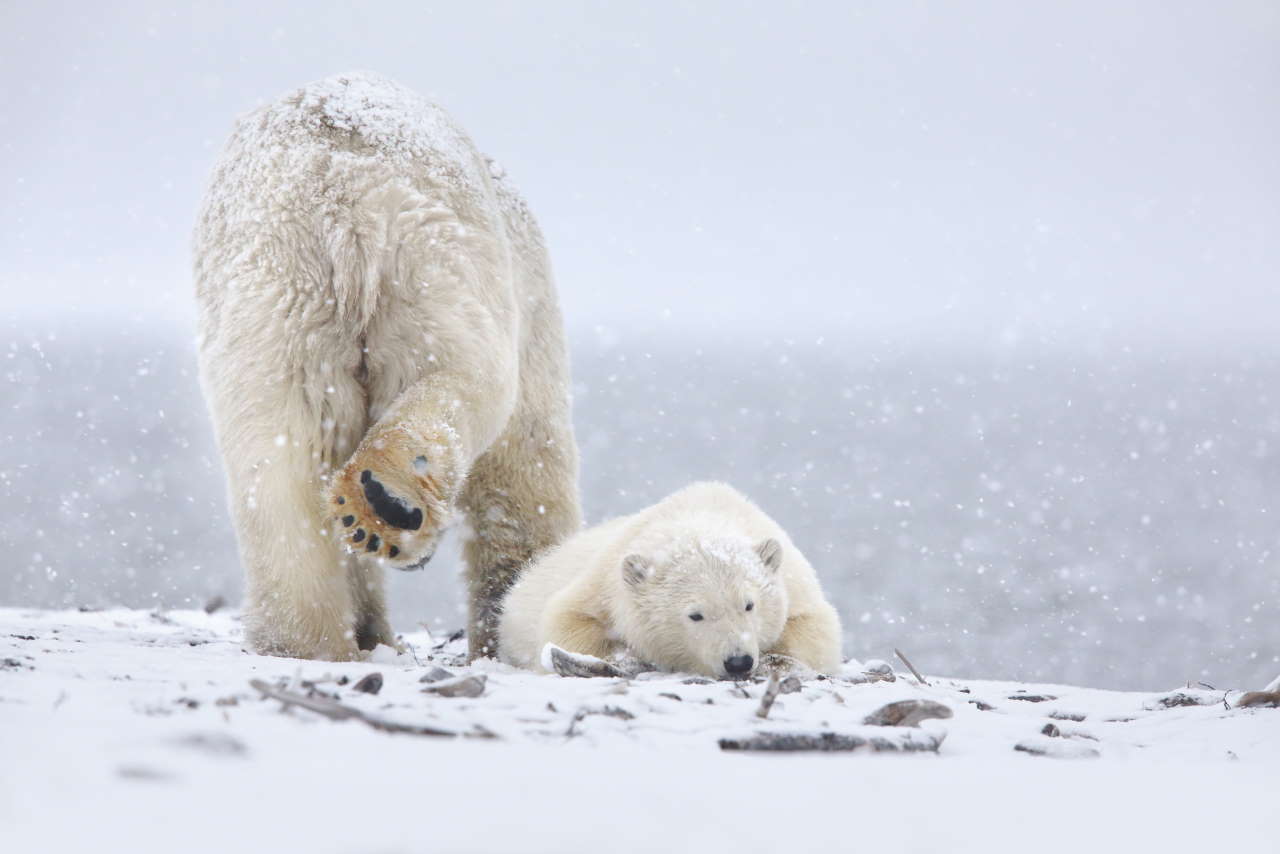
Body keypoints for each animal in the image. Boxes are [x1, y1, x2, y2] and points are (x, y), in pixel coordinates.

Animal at [193, 71, 581, 660]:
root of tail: (340, 188)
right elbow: (525, 468)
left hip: (275, 295)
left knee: (279, 455)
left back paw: (304, 636)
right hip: (428, 258)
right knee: (458, 372)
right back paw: (390, 498)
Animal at [494, 483, 844, 676]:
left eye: (749, 605)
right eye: (695, 615)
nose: (738, 661)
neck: (700, 517)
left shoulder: (795, 582)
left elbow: (816, 628)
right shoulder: (605, 581)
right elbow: (566, 619)